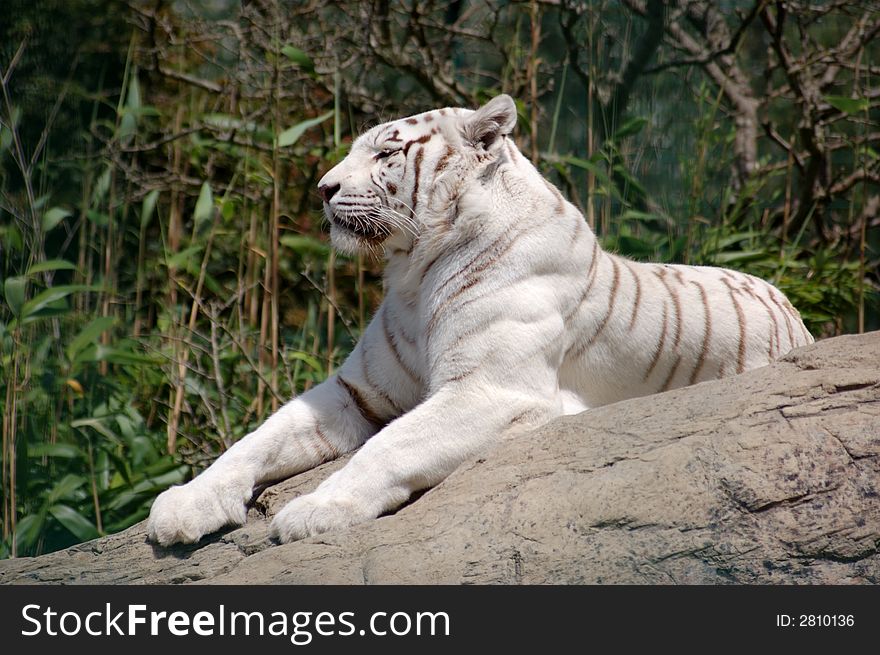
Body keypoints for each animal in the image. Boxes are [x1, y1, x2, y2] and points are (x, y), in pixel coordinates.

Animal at [144, 95, 812, 544]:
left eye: (386, 151)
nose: (322, 188)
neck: (413, 274)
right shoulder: (354, 389)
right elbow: (256, 439)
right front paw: (181, 506)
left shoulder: (489, 390)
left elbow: (388, 447)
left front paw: (312, 512)